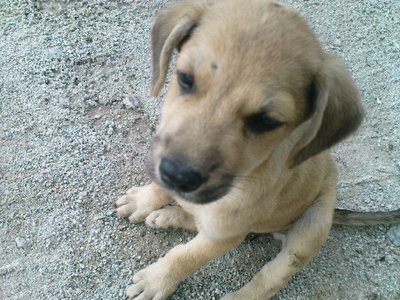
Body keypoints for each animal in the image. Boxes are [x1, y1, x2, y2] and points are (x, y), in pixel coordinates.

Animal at [114, 1, 398, 298]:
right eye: (185, 79)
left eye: (267, 121)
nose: (176, 176)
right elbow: (162, 192)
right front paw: (145, 200)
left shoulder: (223, 236)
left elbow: (186, 257)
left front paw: (157, 280)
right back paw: (168, 215)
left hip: (312, 228)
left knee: (272, 276)